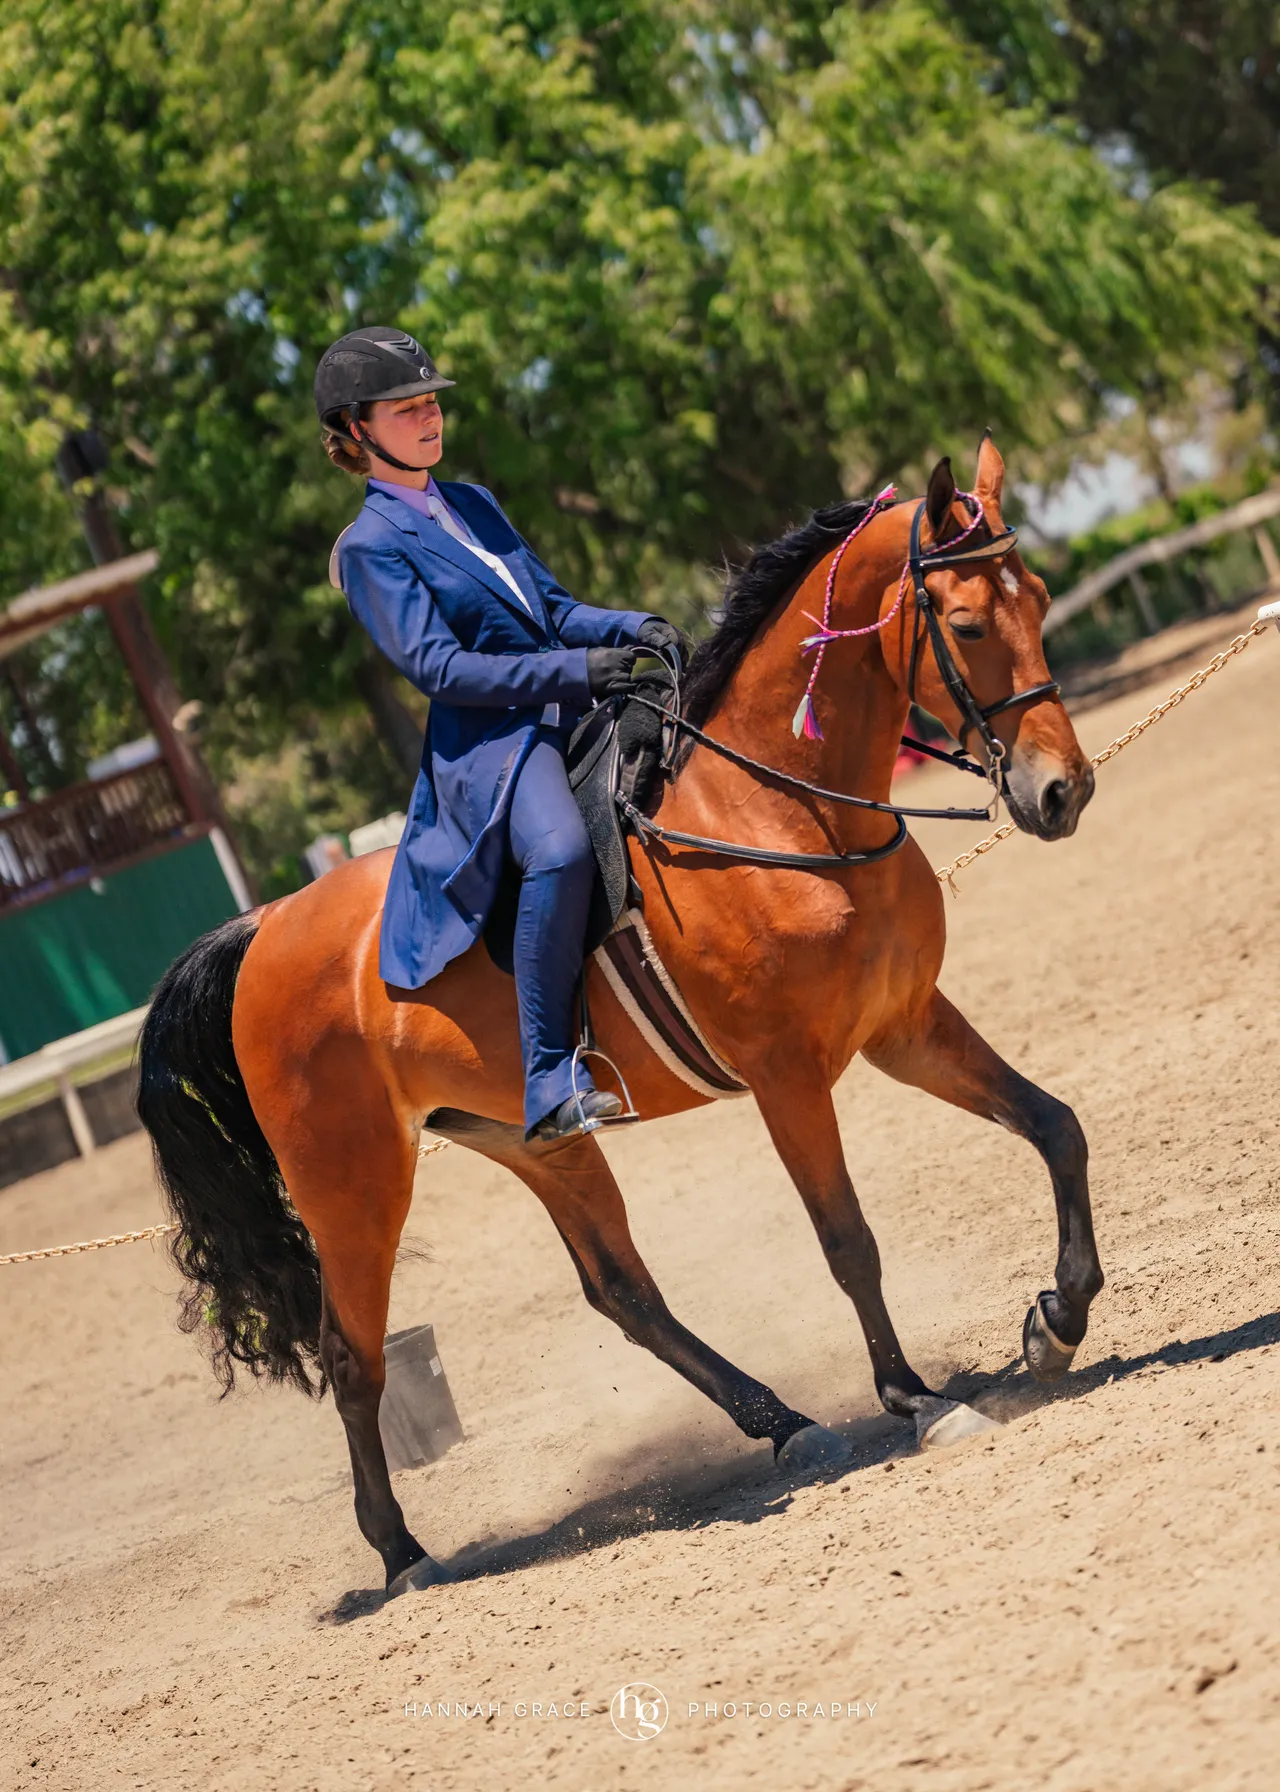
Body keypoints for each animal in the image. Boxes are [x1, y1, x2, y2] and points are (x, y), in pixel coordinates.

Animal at [138, 435, 1101, 1597]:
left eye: (1037, 601)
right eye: (964, 625)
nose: (1061, 794)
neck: (782, 809)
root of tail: (265, 926)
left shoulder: (903, 1026)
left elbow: (1054, 1125)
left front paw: (1056, 1322)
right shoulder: (786, 1076)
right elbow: (847, 1241)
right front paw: (917, 1398)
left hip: (534, 1143)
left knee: (621, 1293)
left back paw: (784, 1425)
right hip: (352, 1184)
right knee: (351, 1356)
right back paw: (402, 1555)